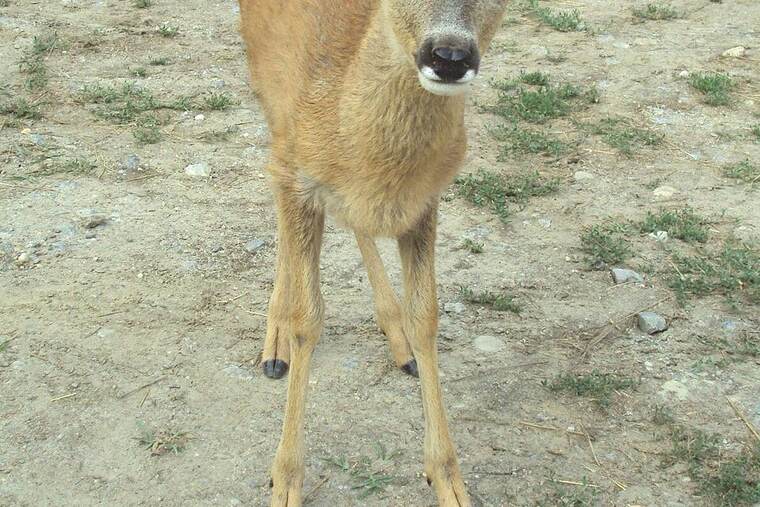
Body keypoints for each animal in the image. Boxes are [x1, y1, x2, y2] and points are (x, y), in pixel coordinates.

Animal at [238, 0, 509, 505]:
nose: (449, 56)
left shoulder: (425, 199)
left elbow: (426, 317)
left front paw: (448, 479)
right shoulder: (298, 173)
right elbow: (308, 318)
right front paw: (284, 479)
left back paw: (394, 334)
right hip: (265, 92)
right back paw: (275, 344)